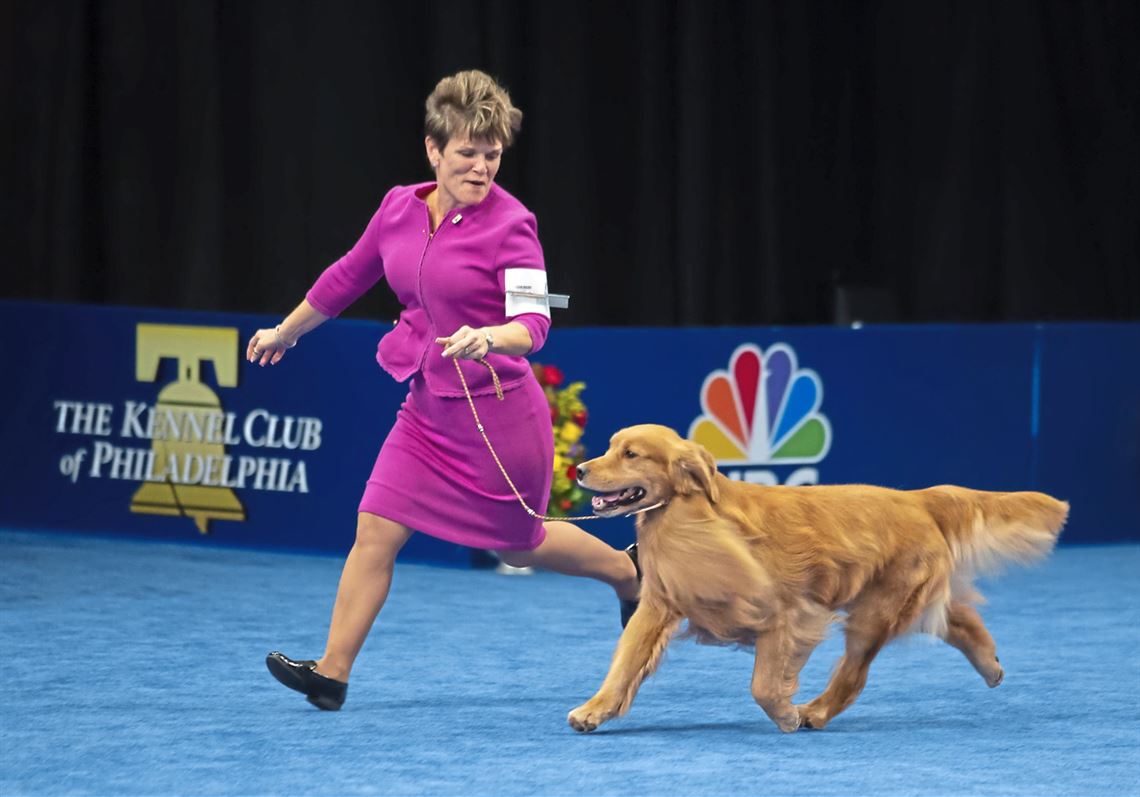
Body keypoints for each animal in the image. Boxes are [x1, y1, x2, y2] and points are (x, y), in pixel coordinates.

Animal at [570, 426, 1067, 734]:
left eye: (631, 454)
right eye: (610, 446)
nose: (578, 469)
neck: (694, 517)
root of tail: (917, 499)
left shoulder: (786, 613)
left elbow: (763, 685)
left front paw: (786, 714)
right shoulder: (659, 605)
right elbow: (624, 663)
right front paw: (594, 710)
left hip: (875, 612)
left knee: (854, 675)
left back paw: (816, 711)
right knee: (955, 618)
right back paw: (990, 663)